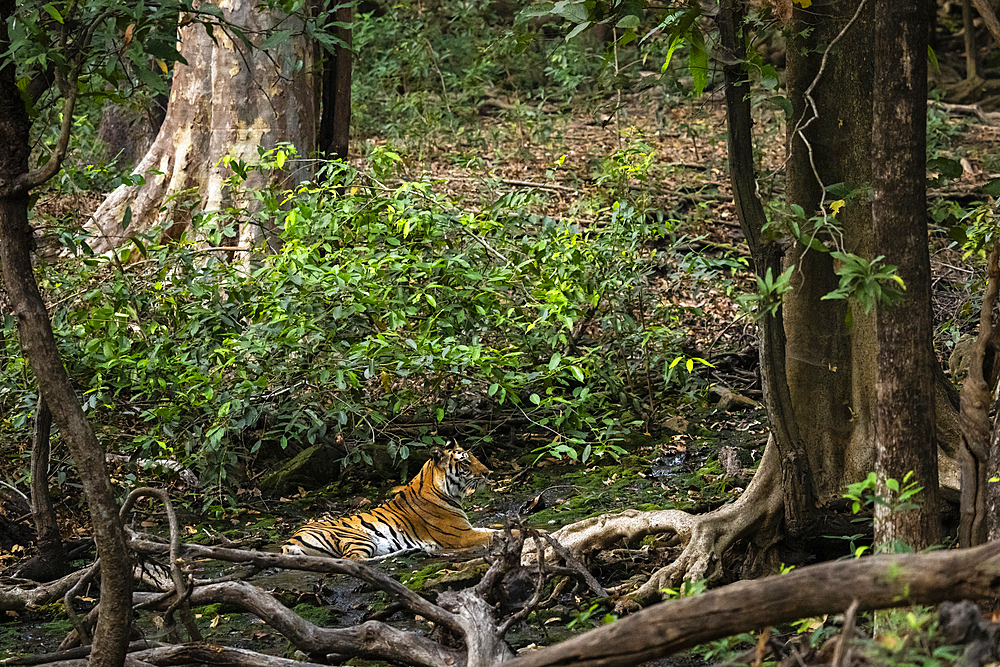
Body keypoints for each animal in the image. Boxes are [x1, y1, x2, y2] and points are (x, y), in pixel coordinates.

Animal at [282, 446, 496, 560]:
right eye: (465, 462)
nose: (488, 473)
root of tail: (289, 541)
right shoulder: (461, 535)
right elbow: (495, 535)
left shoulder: (468, 529)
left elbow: (494, 530)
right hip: (358, 537)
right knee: (354, 561)